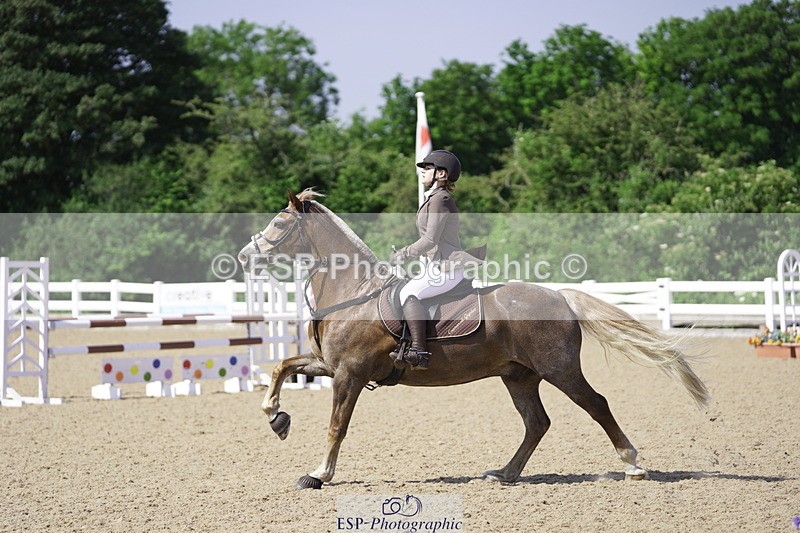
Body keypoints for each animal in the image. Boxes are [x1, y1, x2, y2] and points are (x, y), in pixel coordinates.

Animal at [237, 189, 710, 490]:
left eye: (279, 222)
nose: (244, 256)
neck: (354, 291)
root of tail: (559, 294)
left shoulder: (349, 374)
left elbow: (337, 426)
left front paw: (318, 474)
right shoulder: (329, 366)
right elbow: (280, 367)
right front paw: (277, 418)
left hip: (559, 369)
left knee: (597, 405)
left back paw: (631, 465)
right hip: (519, 376)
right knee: (537, 422)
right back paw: (505, 473)